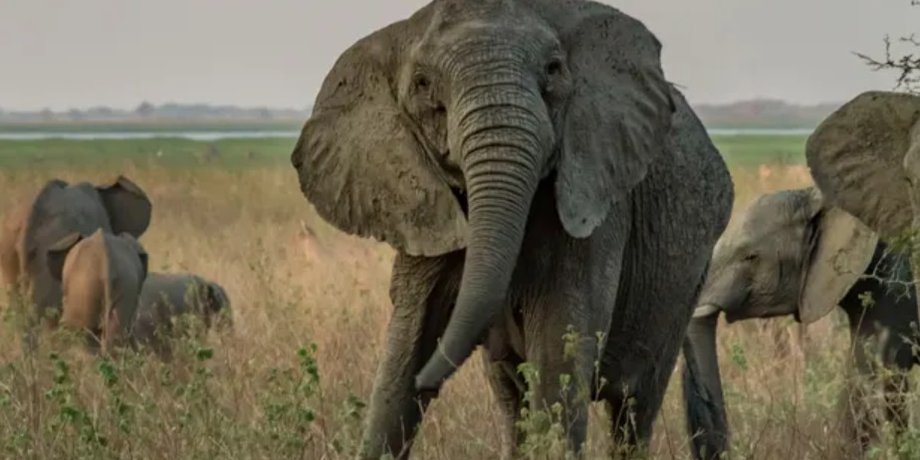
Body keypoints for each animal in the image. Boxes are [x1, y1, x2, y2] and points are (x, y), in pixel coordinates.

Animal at [290, 1, 733, 457]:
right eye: (422, 83)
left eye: (554, 69)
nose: (428, 380)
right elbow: (407, 339)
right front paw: (408, 372)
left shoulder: (594, 195)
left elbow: (559, 346)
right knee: (511, 397)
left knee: (633, 405)